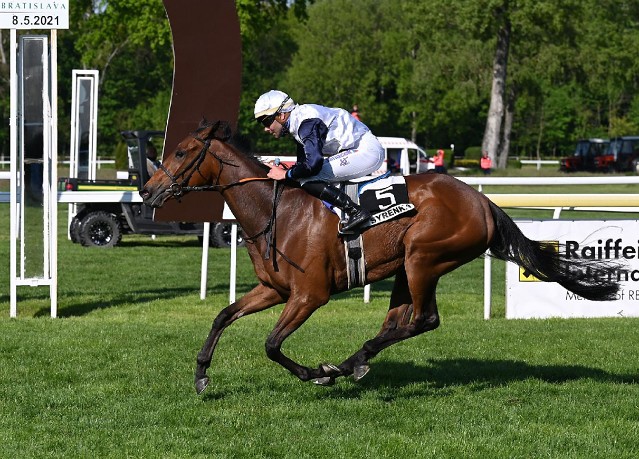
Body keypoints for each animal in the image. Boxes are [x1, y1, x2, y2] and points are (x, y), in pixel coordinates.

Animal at [142, 120, 624, 394]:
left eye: (182, 152)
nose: (147, 190)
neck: (276, 211)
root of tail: (483, 201)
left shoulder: (309, 295)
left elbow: (272, 344)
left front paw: (316, 374)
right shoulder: (273, 289)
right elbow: (223, 315)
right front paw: (201, 374)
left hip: (423, 258)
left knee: (424, 320)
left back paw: (348, 362)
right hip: (405, 269)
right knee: (398, 323)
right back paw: (355, 361)